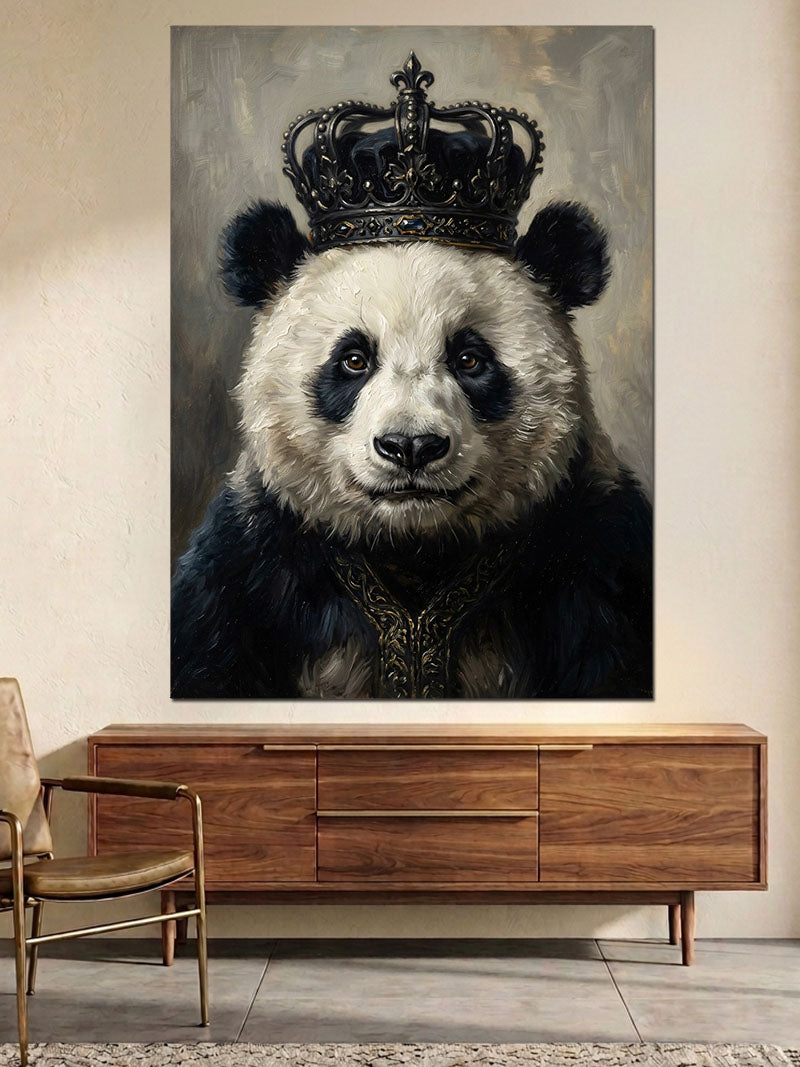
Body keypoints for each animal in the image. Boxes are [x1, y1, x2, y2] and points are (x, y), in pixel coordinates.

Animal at [171, 196, 652, 700]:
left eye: (470, 359)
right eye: (354, 360)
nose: (411, 446)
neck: (414, 548)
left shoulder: (598, 562)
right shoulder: (249, 568)